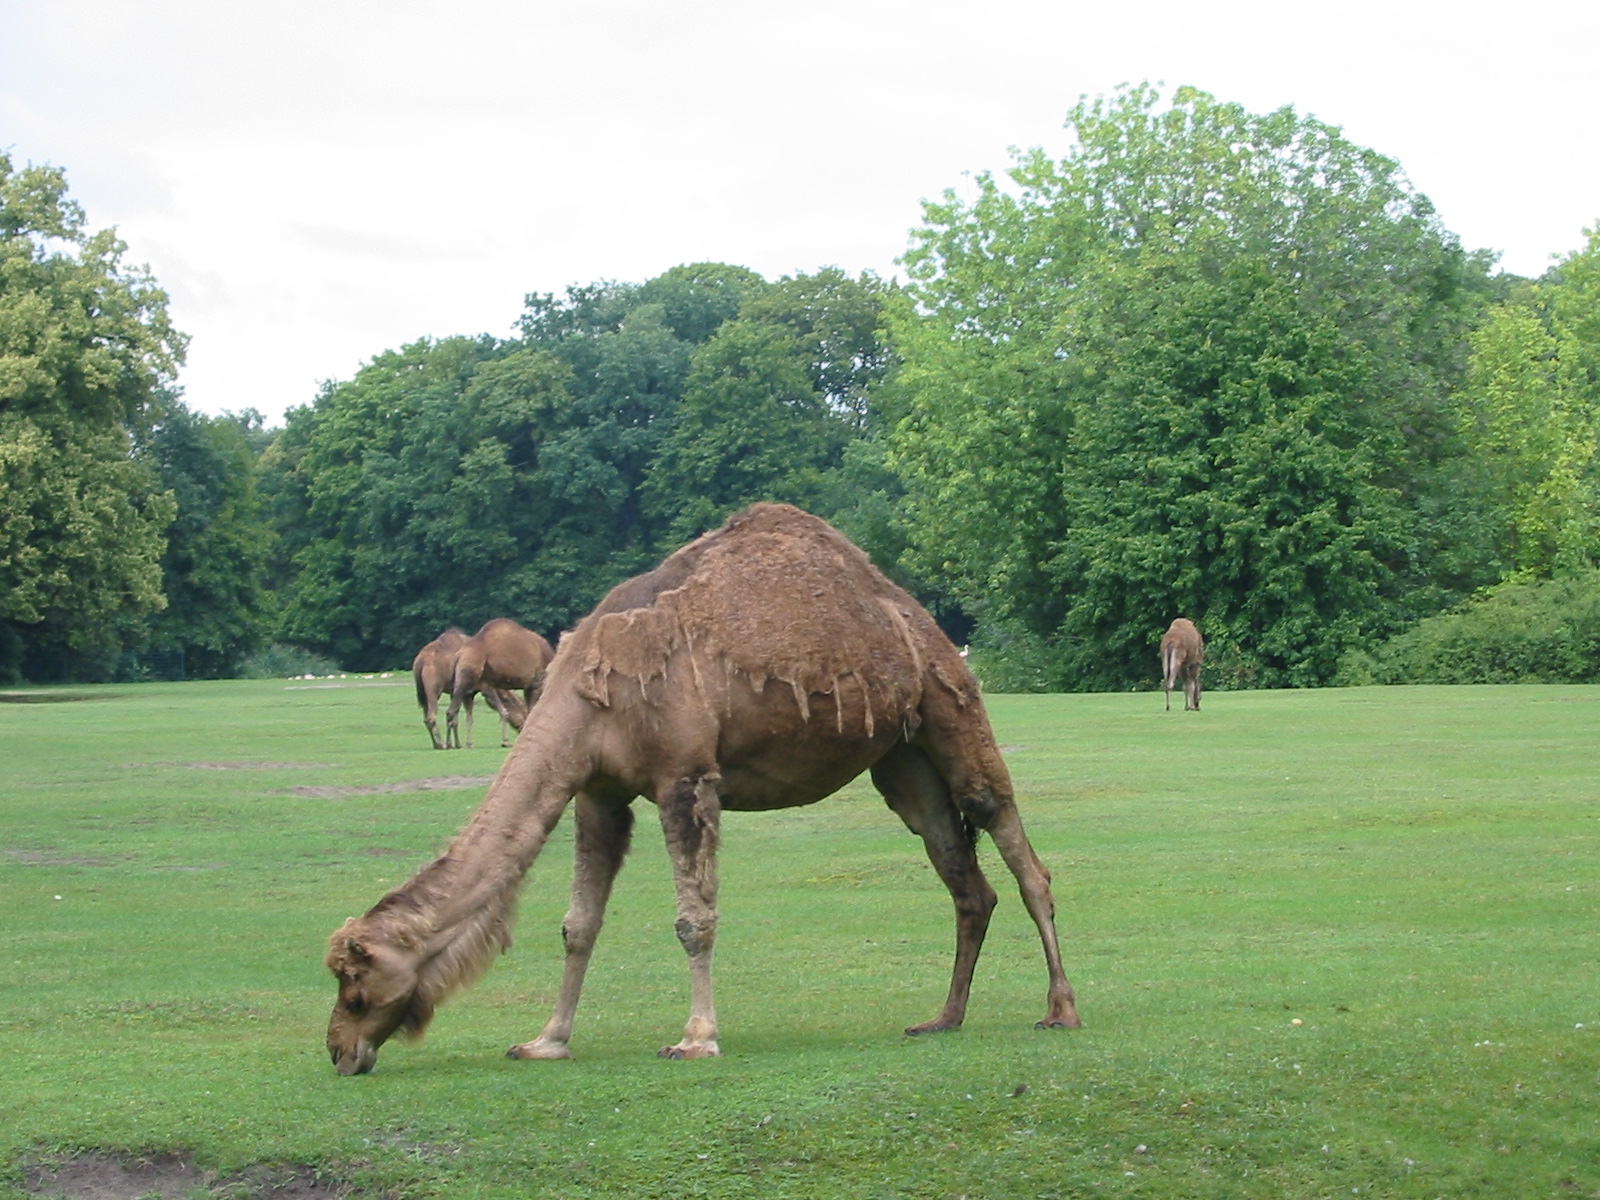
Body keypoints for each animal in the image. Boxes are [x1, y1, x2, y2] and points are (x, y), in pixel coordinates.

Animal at [445, 618, 555, 749]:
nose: (520, 727)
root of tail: (459, 655)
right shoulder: (536, 684)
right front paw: (506, 741)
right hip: (467, 677)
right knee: (451, 711)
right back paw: (450, 744)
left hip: (462, 685)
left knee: (453, 711)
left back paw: (454, 743)